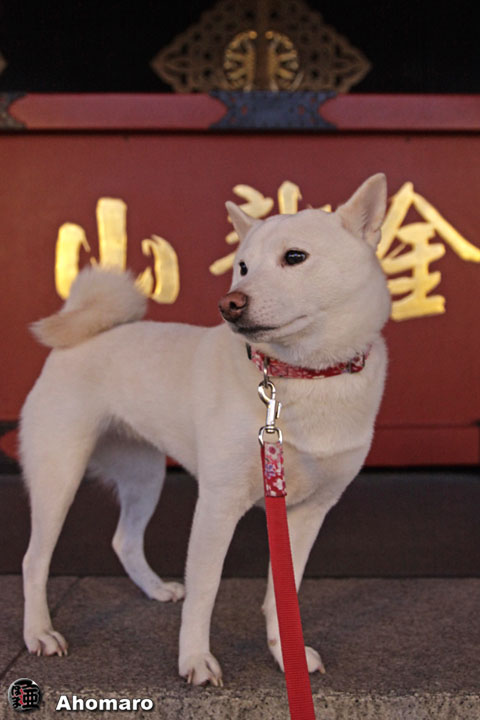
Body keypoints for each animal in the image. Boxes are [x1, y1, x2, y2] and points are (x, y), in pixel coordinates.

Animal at [20, 173, 390, 686]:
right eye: (242, 267)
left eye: (294, 257)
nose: (229, 304)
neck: (301, 377)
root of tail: (86, 334)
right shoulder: (218, 503)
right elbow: (206, 590)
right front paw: (194, 660)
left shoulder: (308, 511)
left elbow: (284, 592)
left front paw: (286, 654)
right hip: (59, 476)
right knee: (34, 560)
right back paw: (39, 633)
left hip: (144, 477)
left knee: (124, 540)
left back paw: (155, 589)